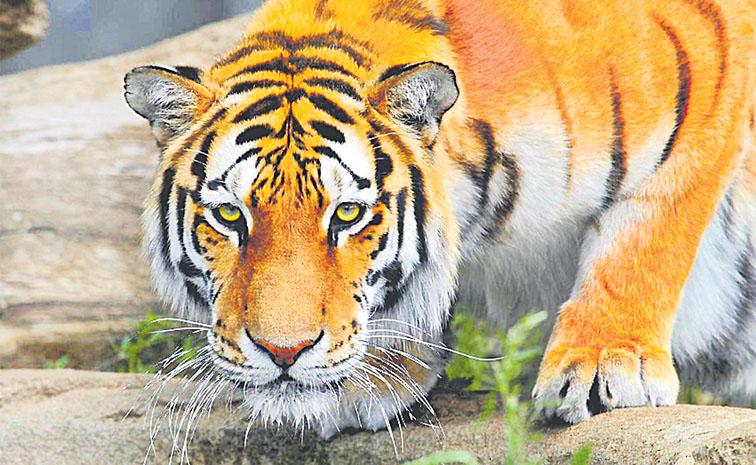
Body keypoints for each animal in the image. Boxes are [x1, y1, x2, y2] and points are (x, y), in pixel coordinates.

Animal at [124, 0, 756, 435]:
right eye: (229, 215)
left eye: (347, 214)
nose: (283, 354)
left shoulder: (709, 68)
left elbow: (646, 239)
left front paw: (605, 364)